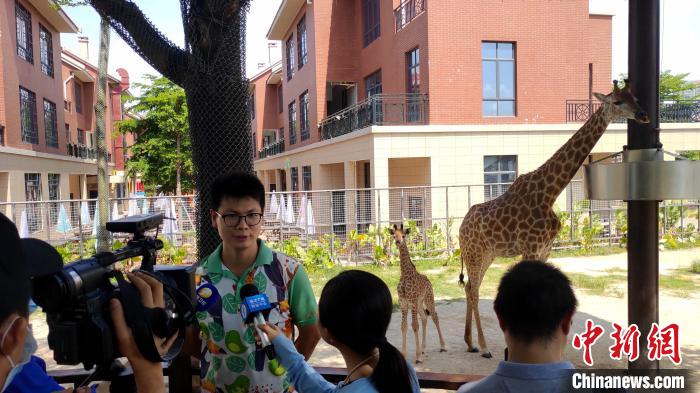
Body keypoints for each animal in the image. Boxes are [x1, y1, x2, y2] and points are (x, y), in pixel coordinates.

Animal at [392, 222, 446, 362]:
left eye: (404, 235)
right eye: (394, 235)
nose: (398, 242)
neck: (405, 275)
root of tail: (428, 280)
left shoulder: (412, 302)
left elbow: (414, 326)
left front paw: (417, 357)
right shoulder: (403, 303)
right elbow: (404, 326)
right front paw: (405, 354)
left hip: (428, 299)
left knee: (434, 316)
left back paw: (442, 346)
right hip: (420, 303)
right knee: (424, 318)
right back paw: (423, 348)